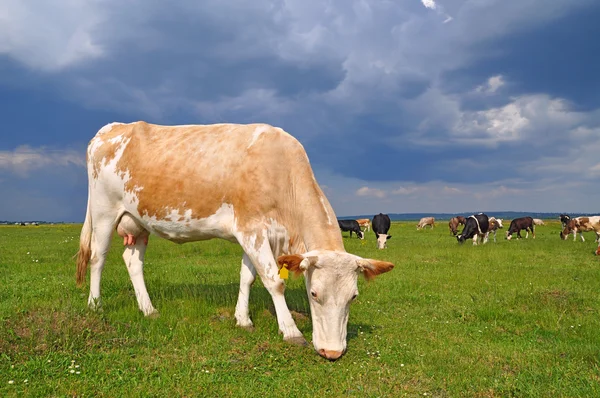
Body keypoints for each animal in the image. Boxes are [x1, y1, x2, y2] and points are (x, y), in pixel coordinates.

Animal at [76, 121, 394, 360]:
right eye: (314, 294)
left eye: (353, 296)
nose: (332, 352)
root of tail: (110, 128)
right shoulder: (252, 229)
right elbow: (273, 281)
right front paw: (291, 331)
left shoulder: (255, 234)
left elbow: (248, 277)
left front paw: (243, 319)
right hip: (104, 212)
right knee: (98, 257)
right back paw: (95, 305)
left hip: (138, 222)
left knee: (132, 262)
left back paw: (149, 309)